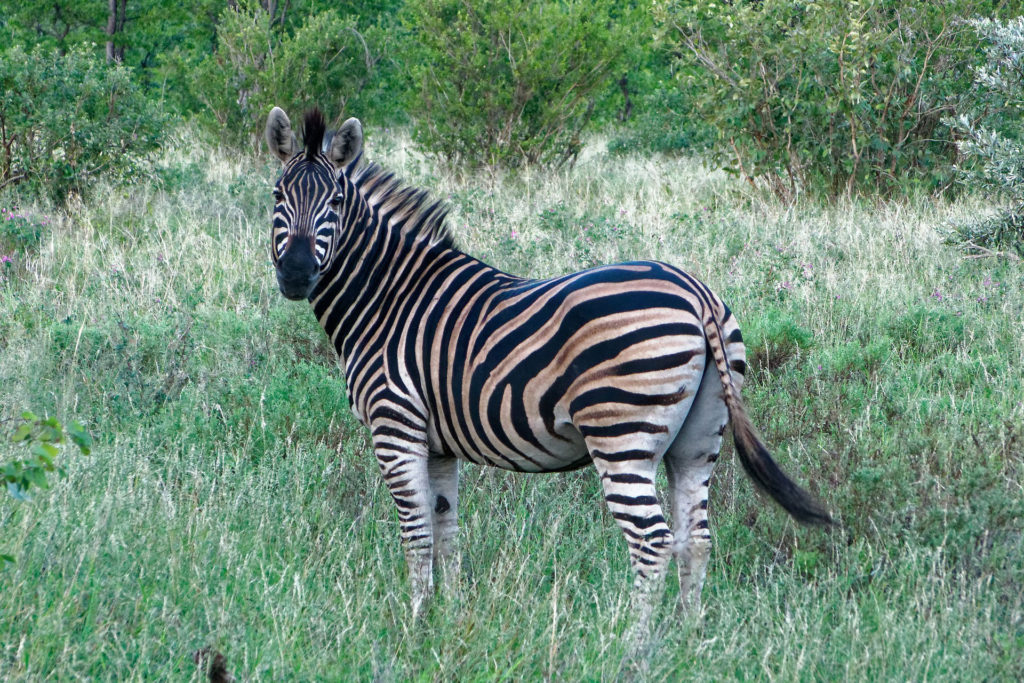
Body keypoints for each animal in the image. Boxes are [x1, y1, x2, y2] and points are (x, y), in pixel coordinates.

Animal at [264, 107, 831, 618]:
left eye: (337, 201)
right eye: (277, 195)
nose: (295, 274)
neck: (388, 296)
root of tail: (697, 294)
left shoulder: (395, 424)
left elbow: (417, 532)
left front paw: (416, 622)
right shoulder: (439, 442)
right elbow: (447, 529)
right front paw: (451, 620)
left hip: (622, 433)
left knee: (652, 543)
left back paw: (632, 650)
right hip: (698, 438)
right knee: (696, 539)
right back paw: (685, 643)